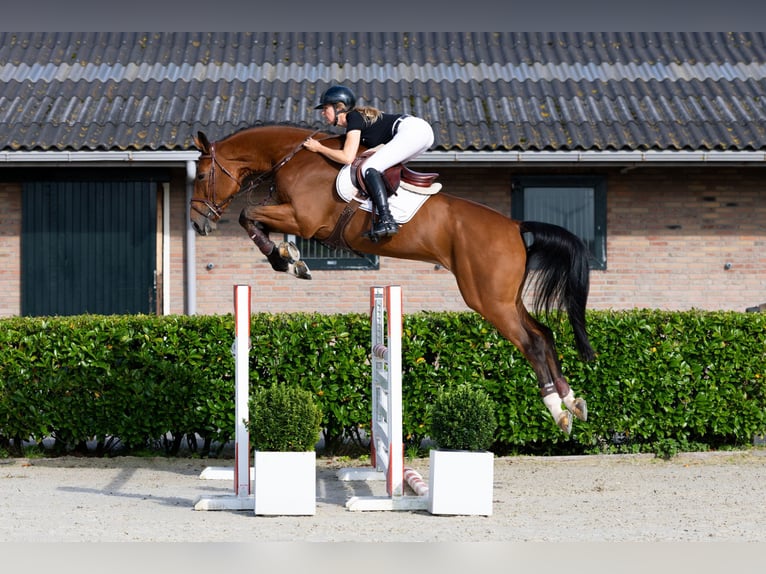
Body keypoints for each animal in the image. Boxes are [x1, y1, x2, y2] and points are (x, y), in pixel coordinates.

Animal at [189, 125, 595, 434]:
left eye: (203, 175)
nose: (197, 224)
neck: (295, 158)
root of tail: (514, 226)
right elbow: (252, 218)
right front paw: (290, 259)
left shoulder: (302, 220)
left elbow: (247, 215)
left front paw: (284, 260)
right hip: (506, 298)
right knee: (544, 334)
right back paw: (572, 400)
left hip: (488, 300)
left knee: (531, 342)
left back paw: (557, 411)